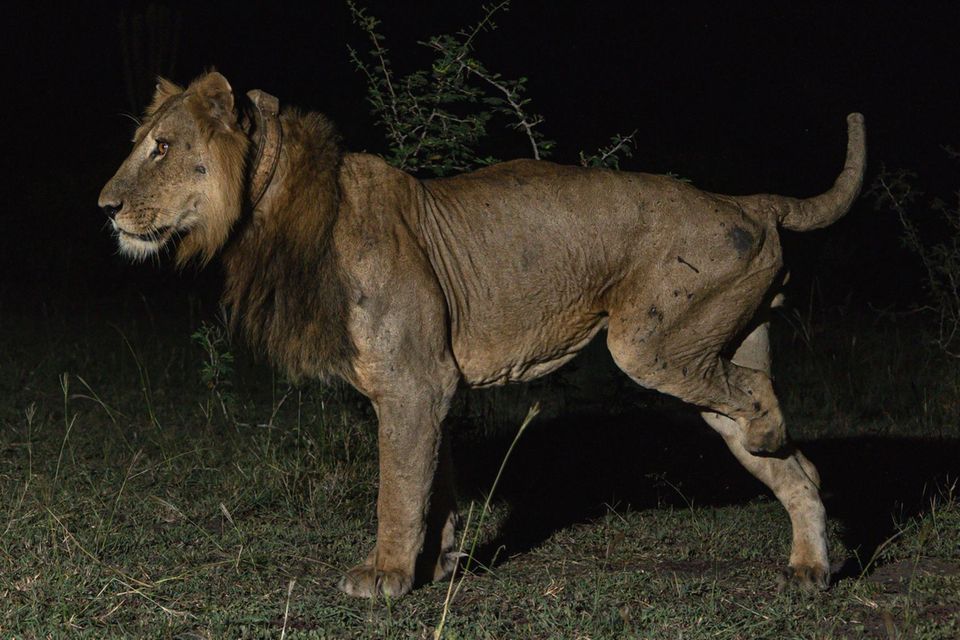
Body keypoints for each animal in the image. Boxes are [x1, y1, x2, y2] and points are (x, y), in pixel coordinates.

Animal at [101, 72, 868, 596]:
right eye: (141, 145)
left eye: (162, 148)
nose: (104, 207)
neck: (274, 210)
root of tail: (745, 201)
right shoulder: (430, 386)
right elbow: (432, 481)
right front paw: (435, 563)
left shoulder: (413, 383)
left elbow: (396, 488)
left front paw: (383, 575)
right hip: (713, 348)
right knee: (798, 469)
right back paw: (810, 568)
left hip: (651, 343)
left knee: (760, 403)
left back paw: (773, 443)